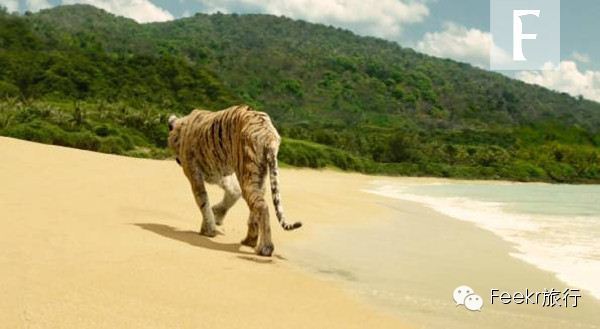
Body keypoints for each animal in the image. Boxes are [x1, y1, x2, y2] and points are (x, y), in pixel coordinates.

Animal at [168, 104, 300, 255]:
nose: (177, 160)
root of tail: (268, 133)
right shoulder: (222, 175)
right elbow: (231, 195)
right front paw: (216, 216)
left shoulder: (194, 174)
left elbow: (202, 201)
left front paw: (209, 230)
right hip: (258, 176)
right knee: (256, 209)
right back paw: (249, 241)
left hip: (247, 175)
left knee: (262, 206)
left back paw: (264, 248)